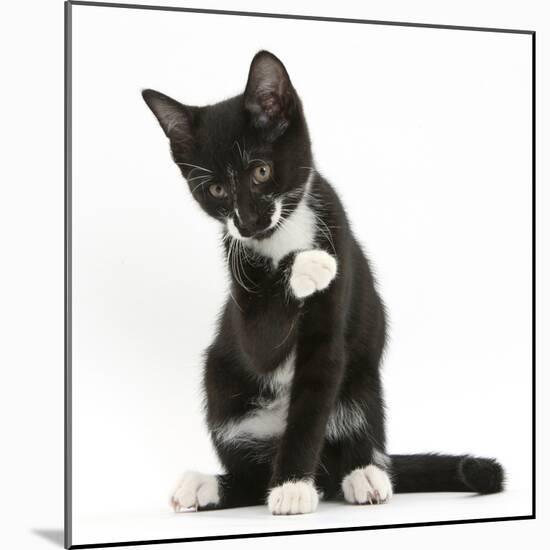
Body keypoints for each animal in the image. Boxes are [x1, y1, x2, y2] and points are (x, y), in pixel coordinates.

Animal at [144, 49, 506, 516]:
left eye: (261, 171)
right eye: (217, 190)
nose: (248, 222)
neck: (282, 235)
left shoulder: (332, 321)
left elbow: (312, 404)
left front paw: (293, 486)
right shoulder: (242, 286)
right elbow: (260, 343)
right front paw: (305, 265)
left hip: (363, 387)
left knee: (345, 452)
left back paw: (363, 476)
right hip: (220, 380)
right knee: (252, 473)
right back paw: (207, 485)